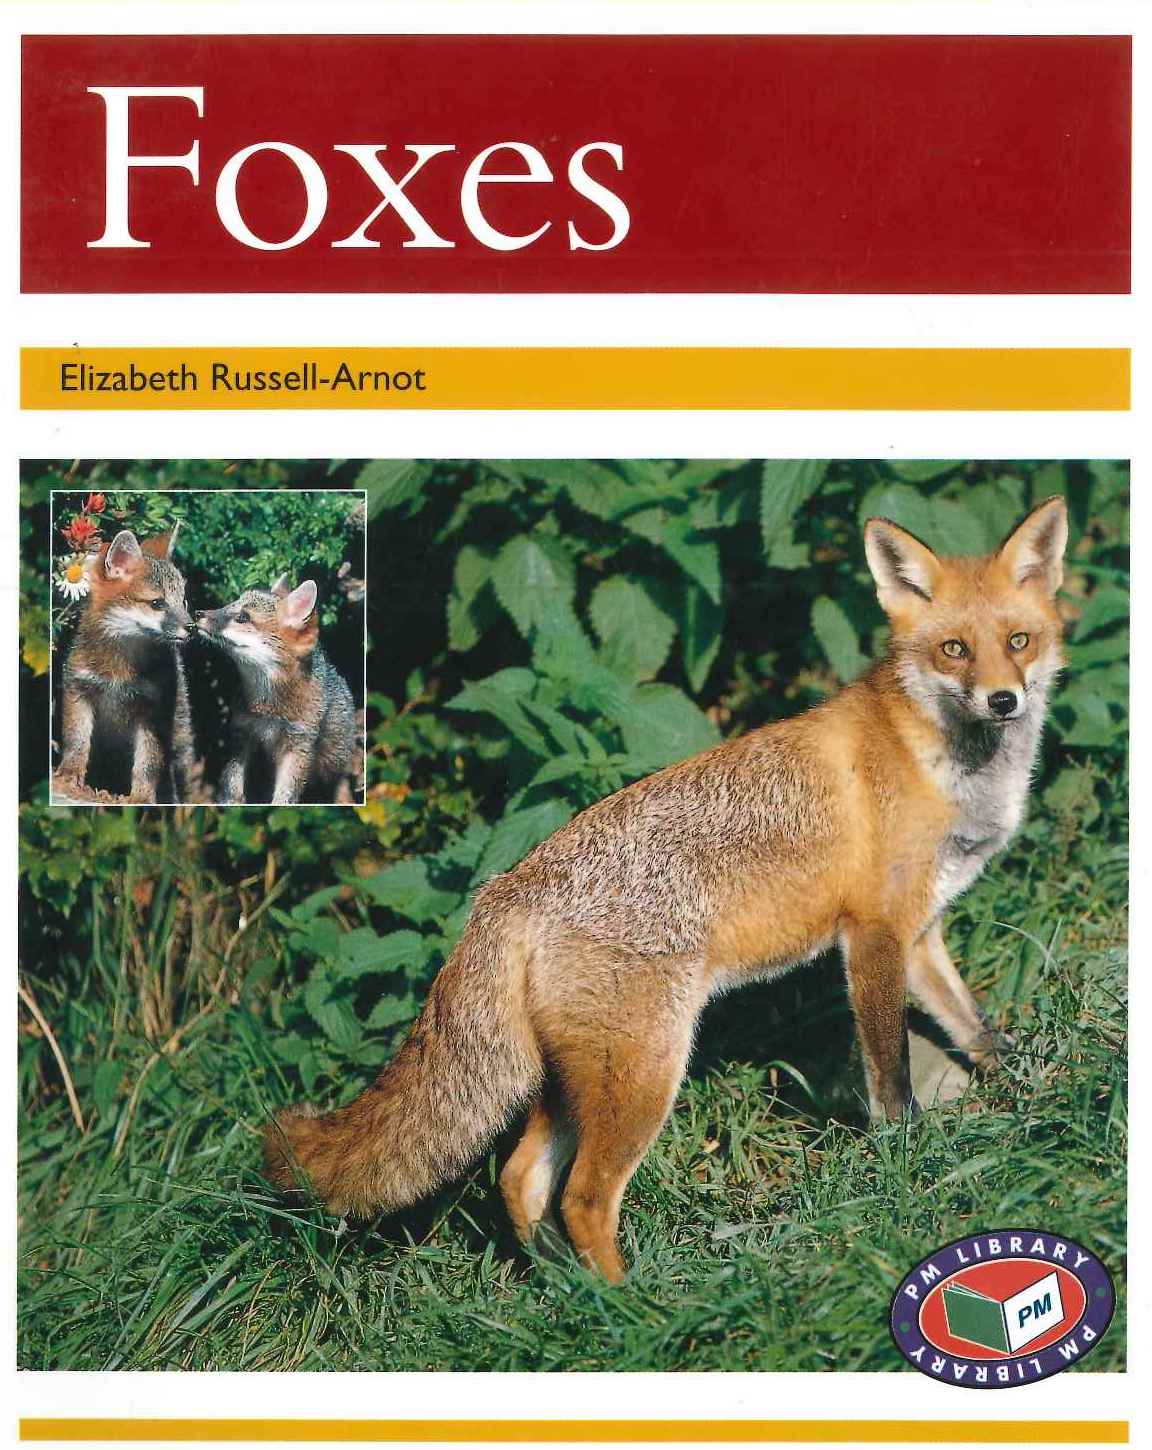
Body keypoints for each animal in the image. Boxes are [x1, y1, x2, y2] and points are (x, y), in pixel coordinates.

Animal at [55, 527, 195, 803]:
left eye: (183, 602)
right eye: (158, 603)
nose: (192, 627)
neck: (119, 672)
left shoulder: (153, 712)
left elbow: (148, 763)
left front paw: (142, 797)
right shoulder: (78, 690)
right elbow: (77, 741)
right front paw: (70, 774)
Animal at [195, 576, 357, 805]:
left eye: (243, 617)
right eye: (229, 604)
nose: (198, 613)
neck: (268, 706)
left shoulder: (299, 745)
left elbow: (285, 796)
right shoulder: (241, 732)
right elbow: (232, 783)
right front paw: (230, 803)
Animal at [264, 497, 1068, 1283]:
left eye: (1019, 641)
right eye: (954, 650)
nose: (1003, 700)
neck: (935, 760)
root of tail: (505, 890)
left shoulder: (920, 932)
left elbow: (977, 1029)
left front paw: (1026, 1091)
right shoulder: (872, 934)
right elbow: (890, 1073)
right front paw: (908, 1156)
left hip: (575, 1082)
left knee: (520, 1179)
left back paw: (573, 1293)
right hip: (644, 1075)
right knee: (584, 1197)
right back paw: (638, 1305)